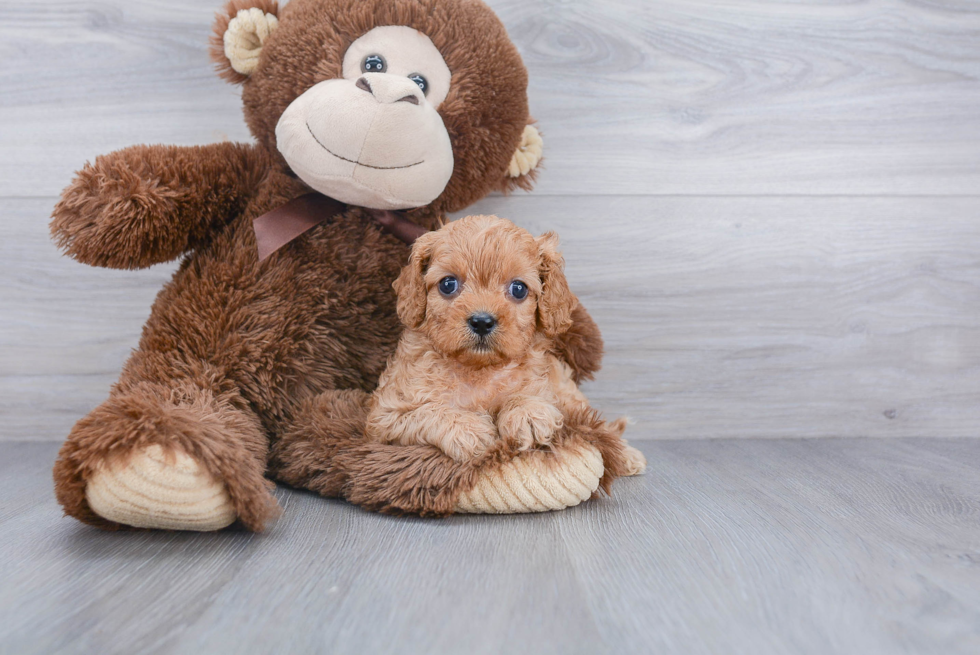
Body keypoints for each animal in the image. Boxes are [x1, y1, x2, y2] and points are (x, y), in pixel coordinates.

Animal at [364, 214, 648, 472]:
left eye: (518, 289)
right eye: (448, 284)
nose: (481, 321)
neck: (479, 369)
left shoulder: (548, 389)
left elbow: (531, 395)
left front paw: (527, 413)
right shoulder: (385, 416)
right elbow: (427, 411)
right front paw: (468, 428)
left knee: (596, 424)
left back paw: (627, 455)